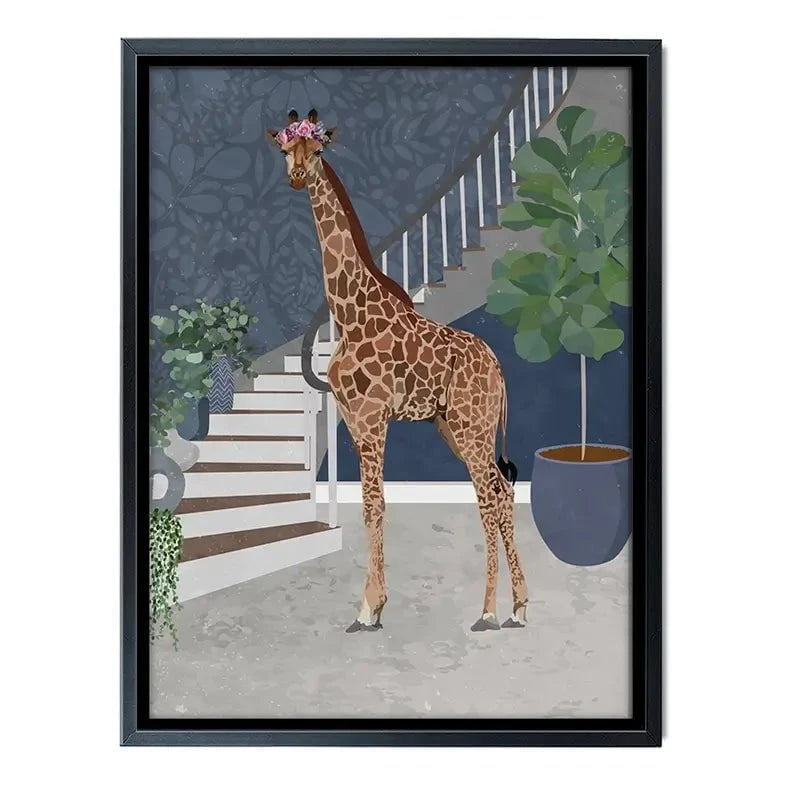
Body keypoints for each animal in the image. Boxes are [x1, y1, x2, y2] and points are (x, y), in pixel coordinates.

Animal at [267, 110, 529, 633]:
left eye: (318, 150)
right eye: (286, 150)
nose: (297, 176)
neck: (349, 312)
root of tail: (498, 366)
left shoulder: (372, 419)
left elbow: (375, 503)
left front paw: (370, 607)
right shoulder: (352, 420)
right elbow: (371, 505)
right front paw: (373, 604)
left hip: (472, 426)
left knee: (489, 496)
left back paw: (488, 611)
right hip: (456, 426)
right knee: (502, 490)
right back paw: (519, 607)